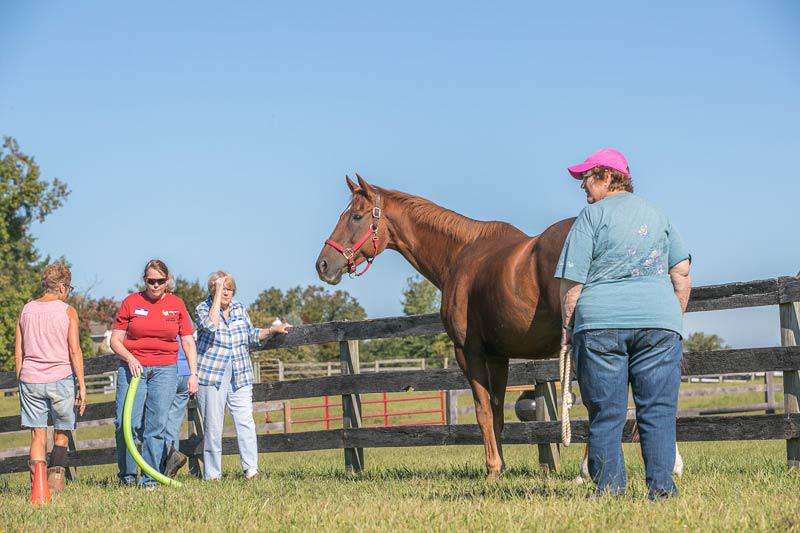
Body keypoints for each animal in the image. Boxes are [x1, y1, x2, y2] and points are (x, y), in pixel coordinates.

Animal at [316, 176, 572, 478]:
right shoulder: (498, 357)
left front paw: (492, 469)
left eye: (356, 216)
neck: (460, 253)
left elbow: (482, 410)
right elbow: (497, 411)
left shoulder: (469, 352)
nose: (323, 264)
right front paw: (501, 466)